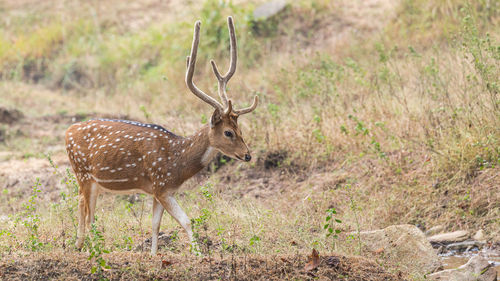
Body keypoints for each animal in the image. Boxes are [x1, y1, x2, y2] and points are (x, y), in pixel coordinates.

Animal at [65, 17, 258, 254]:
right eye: (228, 132)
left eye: (241, 130)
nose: (248, 155)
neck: (177, 163)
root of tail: (67, 131)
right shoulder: (161, 185)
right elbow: (186, 221)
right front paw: (199, 254)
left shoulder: (160, 190)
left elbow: (156, 224)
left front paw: (154, 254)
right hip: (83, 173)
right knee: (88, 212)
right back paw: (91, 248)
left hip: (88, 179)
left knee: (81, 204)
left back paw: (80, 244)